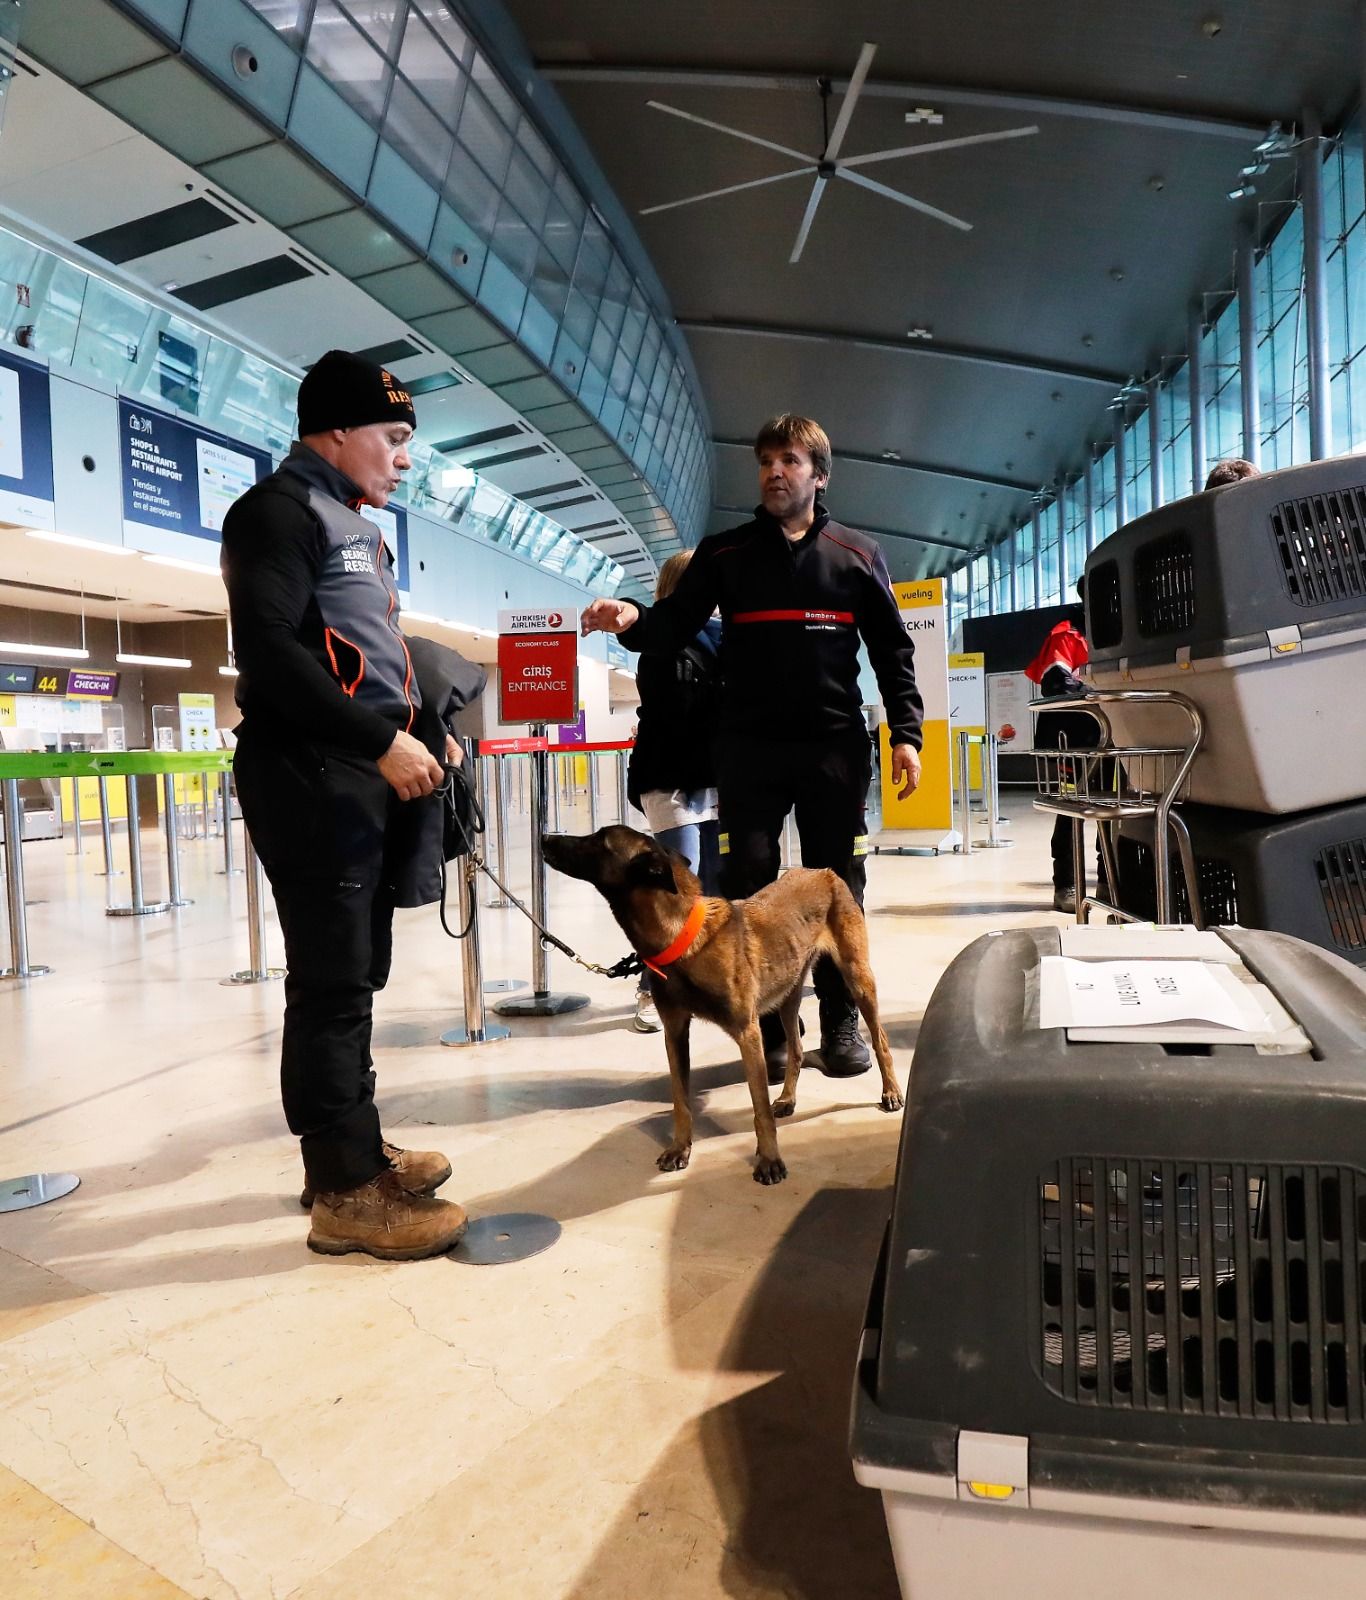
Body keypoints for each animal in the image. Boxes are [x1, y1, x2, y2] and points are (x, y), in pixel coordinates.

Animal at [540, 825, 902, 1190]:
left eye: (600, 840)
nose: (545, 838)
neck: (681, 937)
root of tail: (823, 871)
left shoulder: (747, 1033)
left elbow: (759, 1108)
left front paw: (769, 1160)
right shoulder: (675, 1033)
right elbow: (681, 1100)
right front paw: (680, 1148)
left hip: (857, 978)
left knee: (880, 1040)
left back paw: (891, 1092)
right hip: (788, 993)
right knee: (797, 1050)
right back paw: (788, 1099)